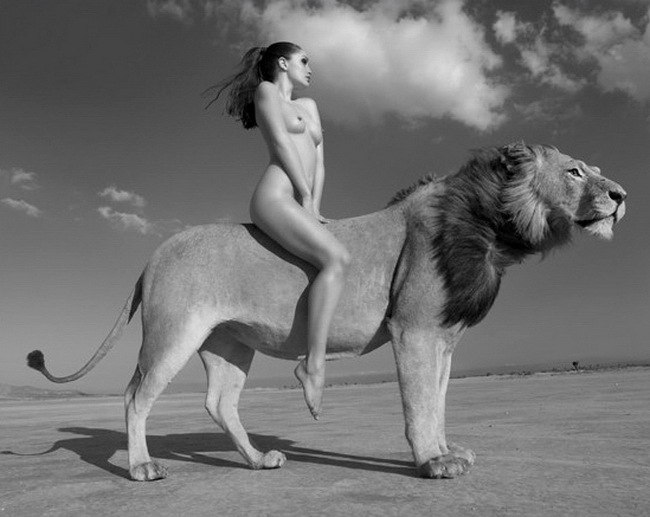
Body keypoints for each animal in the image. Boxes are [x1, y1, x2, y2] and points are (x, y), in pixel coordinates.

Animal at [27, 143, 626, 481]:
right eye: (576, 172)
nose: (621, 195)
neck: (493, 227)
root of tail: (151, 256)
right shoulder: (414, 330)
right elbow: (419, 405)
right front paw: (432, 463)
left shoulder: (444, 338)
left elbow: (438, 401)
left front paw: (446, 450)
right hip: (174, 333)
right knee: (136, 396)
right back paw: (142, 468)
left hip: (229, 343)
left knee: (219, 402)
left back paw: (257, 461)